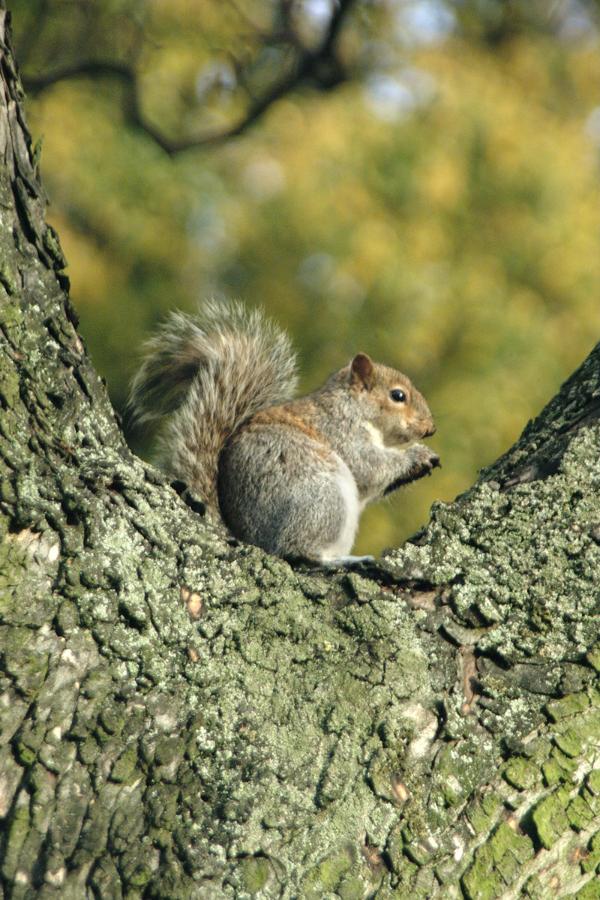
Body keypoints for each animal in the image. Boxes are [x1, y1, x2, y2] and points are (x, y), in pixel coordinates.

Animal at [130, 306, 440, 568]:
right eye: (398, 396)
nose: (430, 428)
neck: (352, 407)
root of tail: (250, 538)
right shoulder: (339, 432)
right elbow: (369, 466)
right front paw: (417, 453)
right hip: (321, 498)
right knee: (298, 551)